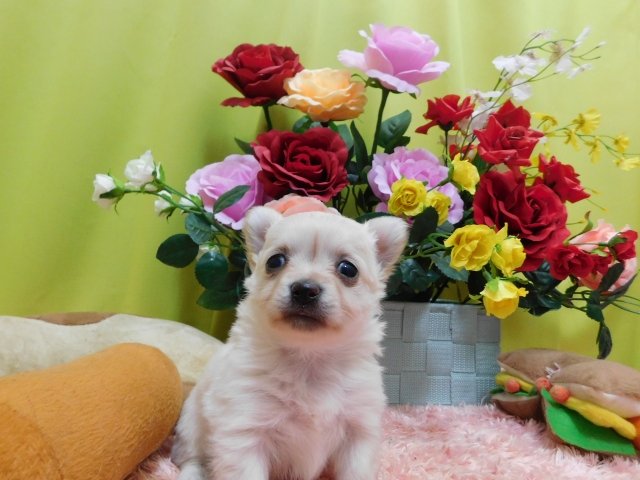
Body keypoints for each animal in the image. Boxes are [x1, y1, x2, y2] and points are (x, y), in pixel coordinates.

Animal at [172, 206, 408, 480]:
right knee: (191, 459)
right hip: (191, 426)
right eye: (275, 261)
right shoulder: (244, 430)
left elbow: (357, 472)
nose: (305, 289)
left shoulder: (358, 432)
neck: (309, 358)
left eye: (348, 269)